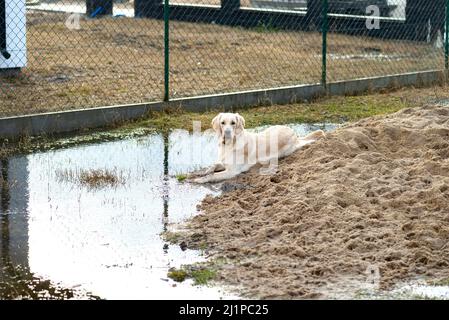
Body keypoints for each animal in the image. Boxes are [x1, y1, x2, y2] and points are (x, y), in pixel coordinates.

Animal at [191, 112, 324, 182]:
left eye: (233, 123)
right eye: (222, 123)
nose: (227, 132)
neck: (229, 144)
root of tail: (294, 132)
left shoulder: (232, 171)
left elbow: (213, 176)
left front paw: (200, 179)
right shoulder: (224, 162)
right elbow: (213, 165)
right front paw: (204, 172)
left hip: (286, 149)